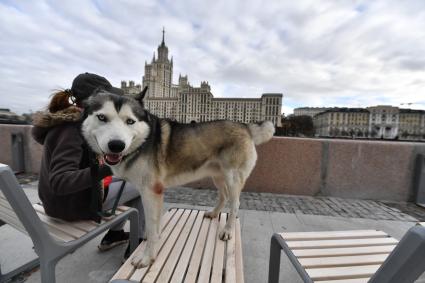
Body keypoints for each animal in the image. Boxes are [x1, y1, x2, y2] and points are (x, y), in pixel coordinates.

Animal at [82, 87, 274, 268]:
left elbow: (151, 227)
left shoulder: (151, 192)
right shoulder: (155, 193)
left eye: (130, 121)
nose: (116, 145)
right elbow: (155, 226)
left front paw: (147, 258)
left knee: (235, 204)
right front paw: (155, 242)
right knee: (224, 196)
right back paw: (214, 213)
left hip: (232, 178)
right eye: (102, 117)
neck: (143, 142)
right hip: (218, 176)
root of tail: (246, 126)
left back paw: (227, 230)